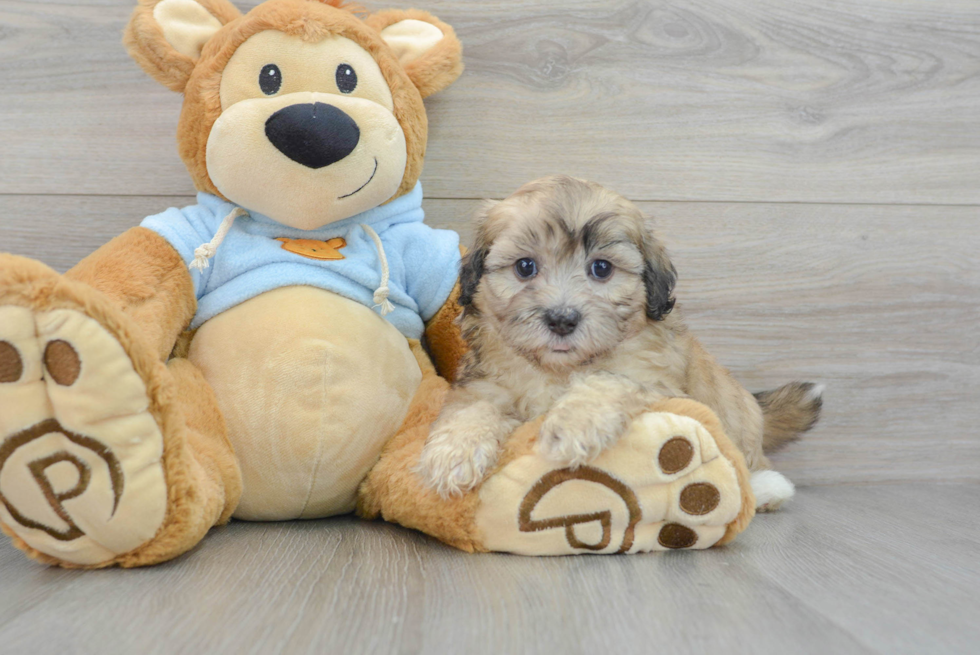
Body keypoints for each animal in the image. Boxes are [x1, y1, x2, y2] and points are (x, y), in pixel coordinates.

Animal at [418, 176, 824, 512]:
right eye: (524, 267)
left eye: (602, 269)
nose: (561, 319)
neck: (558, 370)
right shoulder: (485, 382)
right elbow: (473, 408)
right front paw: (454, 454)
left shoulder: (651, 377)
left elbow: (607, 381)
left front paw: (573, 425)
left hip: (738, 422)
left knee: (751, 463)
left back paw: (768, 489)